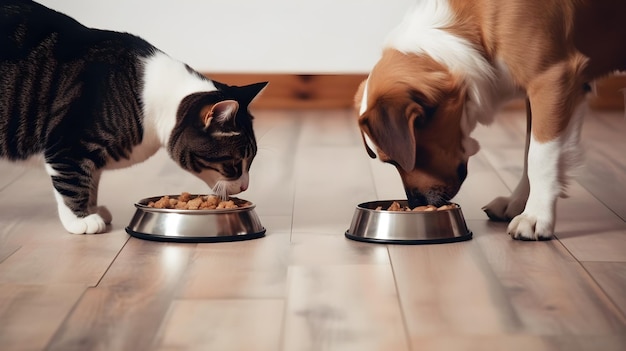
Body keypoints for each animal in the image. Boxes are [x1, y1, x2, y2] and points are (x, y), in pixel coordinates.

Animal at [0, 1, 266, 235]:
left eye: (252, 161)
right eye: (233, 165)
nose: (245, 185)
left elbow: (91, 181)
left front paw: (93, 209)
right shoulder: (68, 145)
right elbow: (73, 182)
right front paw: (81, 220)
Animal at [354, 0, 624, 241]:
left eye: (394, 161)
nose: (414, 202)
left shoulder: (552, 79)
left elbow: (539, 158)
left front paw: (536, 215)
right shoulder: (539, 93)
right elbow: (528, 152)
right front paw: (517, 202)